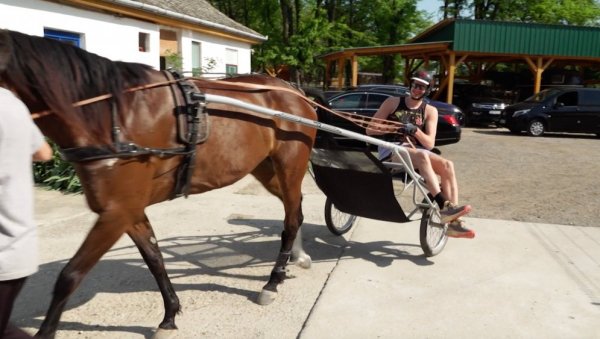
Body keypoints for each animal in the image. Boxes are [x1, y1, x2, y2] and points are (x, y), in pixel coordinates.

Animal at [0, 30, 316, 338]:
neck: (112, 117)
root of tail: (295, 92)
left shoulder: (116, 212)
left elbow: (70, 275)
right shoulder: (128, 211)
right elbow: (155, 259)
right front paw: (170, 315)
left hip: (289, 166)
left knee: (291, 219)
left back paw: (272, 281)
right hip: (266, 169)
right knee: (296, 210)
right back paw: (295, 260)